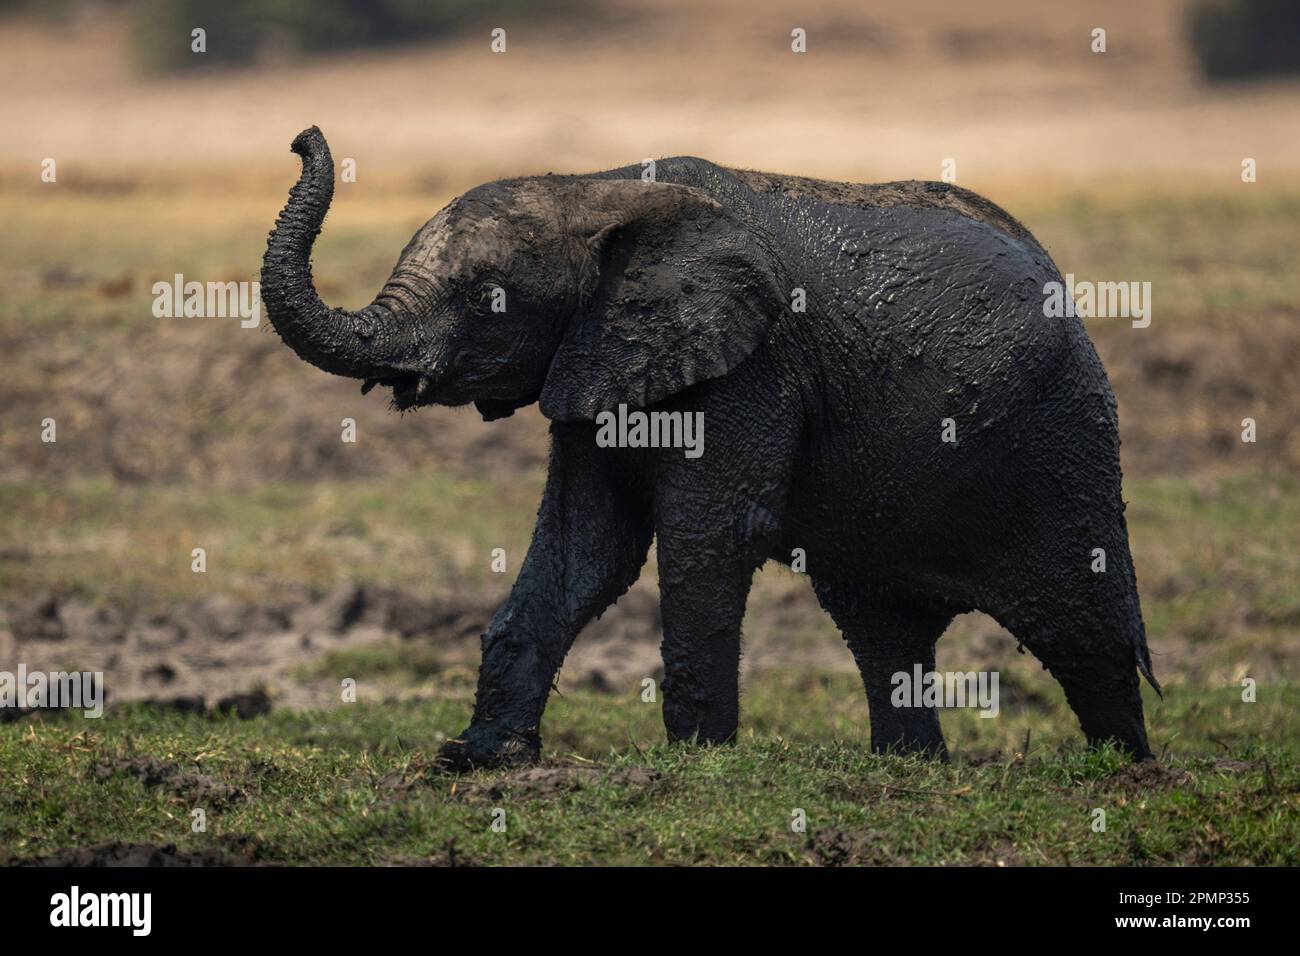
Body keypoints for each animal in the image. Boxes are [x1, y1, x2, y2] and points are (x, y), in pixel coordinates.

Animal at [261, 127, 1159, 770]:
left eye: (488, 297)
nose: (303, 136)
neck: (598, 187)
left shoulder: (752, 366)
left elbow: (709, 535)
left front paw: (695, 760)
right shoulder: (594, 365)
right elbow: (588, 549)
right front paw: (477, 760)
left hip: (1065, 433)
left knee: (1086, 628)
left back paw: (1127, 772)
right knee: (881, 628)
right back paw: (909, 769)